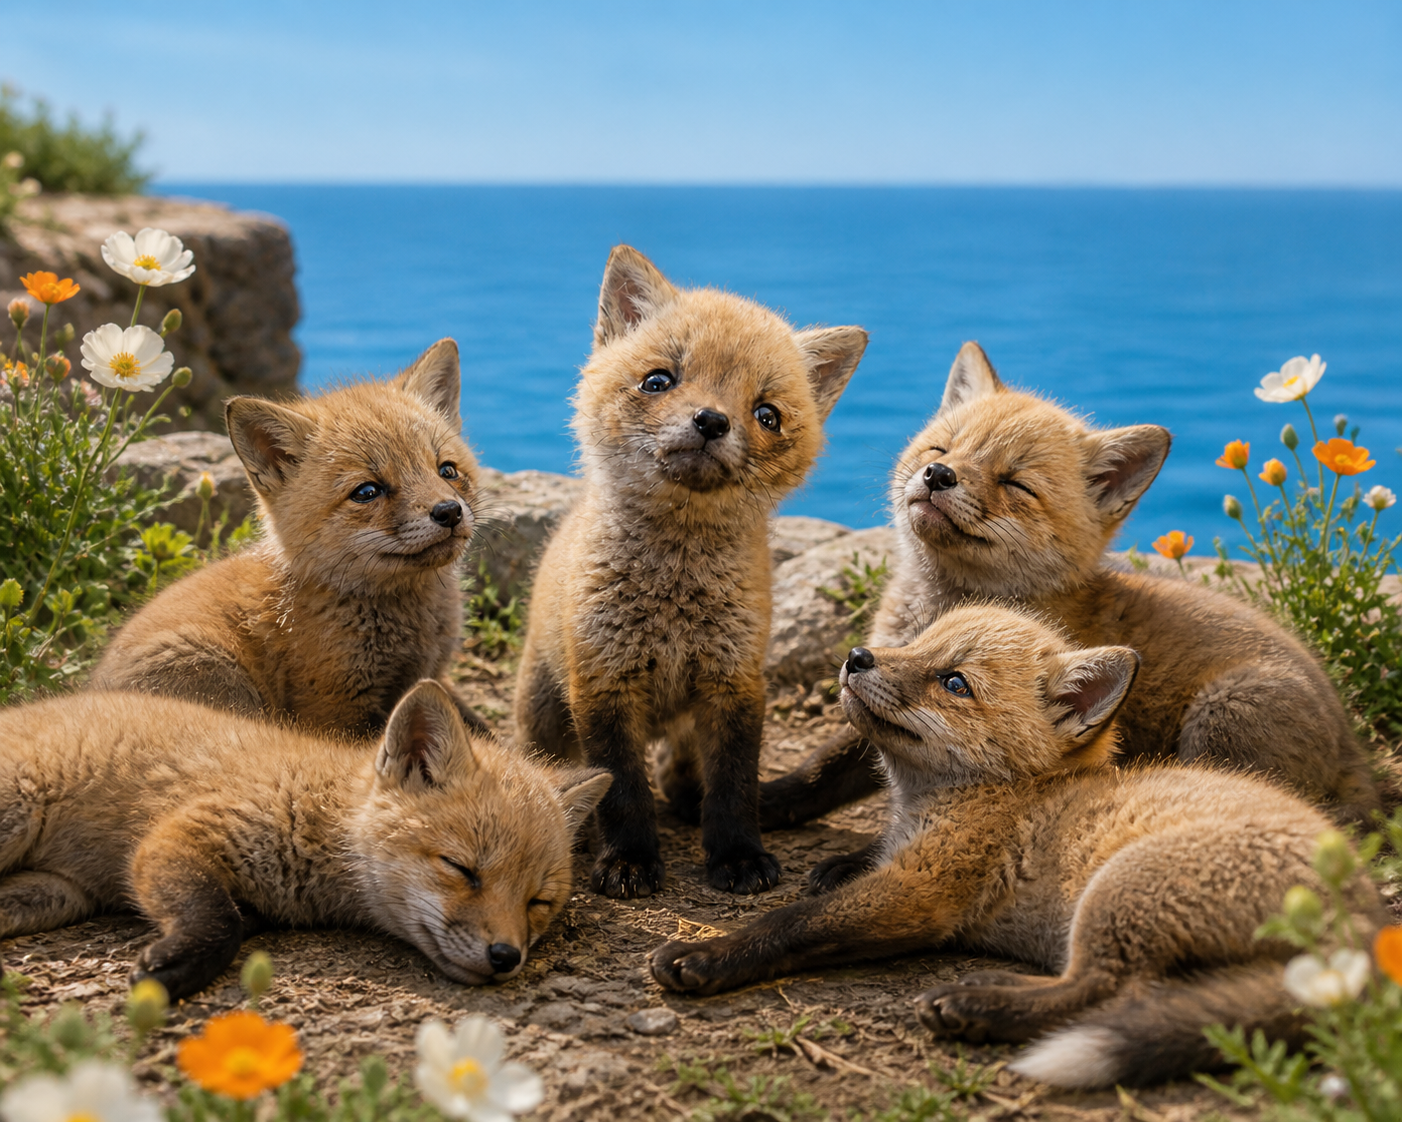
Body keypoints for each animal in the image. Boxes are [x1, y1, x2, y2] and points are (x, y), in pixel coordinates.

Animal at [0, 679, 612, 1001]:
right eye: (462, 869)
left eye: (538, 902)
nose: (506, 957)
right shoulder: (181, 831)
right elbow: (218, 920)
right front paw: (174, 966)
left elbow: (234, 918)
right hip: (17, 813)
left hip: (55, 895)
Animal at [514, 245, 867, 900]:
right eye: (659, 380)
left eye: (766, 414)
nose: (711, 421)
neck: (674, 599)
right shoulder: (603, 683)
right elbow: (621, 789)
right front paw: (627, 860)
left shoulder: (735, 681)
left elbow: (733, 785)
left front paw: (737, 854)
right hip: (544, 710)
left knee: (681, 771)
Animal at [652, 605, 1386, 1089]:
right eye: (915, 644)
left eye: (954, 682)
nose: (858, 657)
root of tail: (1370, 919)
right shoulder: (905, 860)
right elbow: (845, 874)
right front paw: (837, 864)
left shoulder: (920, 892)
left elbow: (790, 923)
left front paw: (708, 955)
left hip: (1120, 889)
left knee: (1108, 990)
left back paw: (977, 1004)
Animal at [760, 341, 1380, 884]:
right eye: (941, 450)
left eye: (1015, 483)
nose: (938, 476)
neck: (942, 604)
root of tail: (1353, 744)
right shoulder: (885, 673)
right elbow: (825, 767)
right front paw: (766, 801)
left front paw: (858, 862)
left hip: (1223, 714)